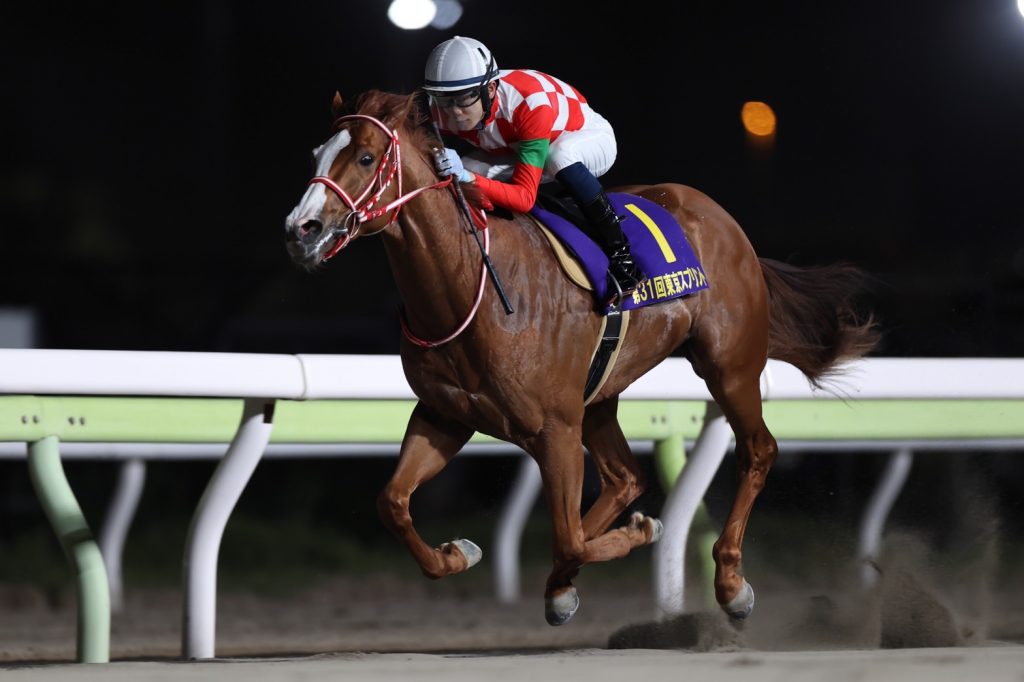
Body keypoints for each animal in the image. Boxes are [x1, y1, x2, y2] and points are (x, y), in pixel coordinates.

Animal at [284, 89, 878, 626]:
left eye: (365, 157)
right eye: (316, 153)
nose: (300, 231)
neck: (473, 288)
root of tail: (725, 223)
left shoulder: (555, 428)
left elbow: (568, 539)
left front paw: (639, 533)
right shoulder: (444, 416)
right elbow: (393, 502)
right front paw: (461, 554)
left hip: (729, 366)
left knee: (757, 450)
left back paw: (730, 584)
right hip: (601, 393)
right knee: (624, 478)